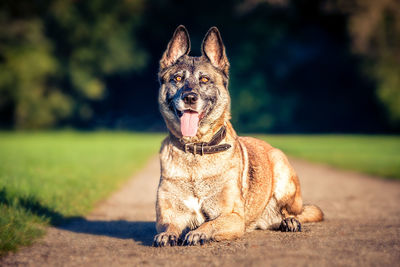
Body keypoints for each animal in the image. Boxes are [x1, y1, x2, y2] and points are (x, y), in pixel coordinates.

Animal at [152, 25, 322, 247]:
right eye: (177, 78)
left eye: (204, 79)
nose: (189, 98)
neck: (196, 149)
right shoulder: (167, 216)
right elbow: (168, 225)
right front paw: (167, 234)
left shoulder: (232, 217)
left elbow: (210, 223)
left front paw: (198, 233)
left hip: (282, 173)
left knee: (293, 213)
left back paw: (290, 222)